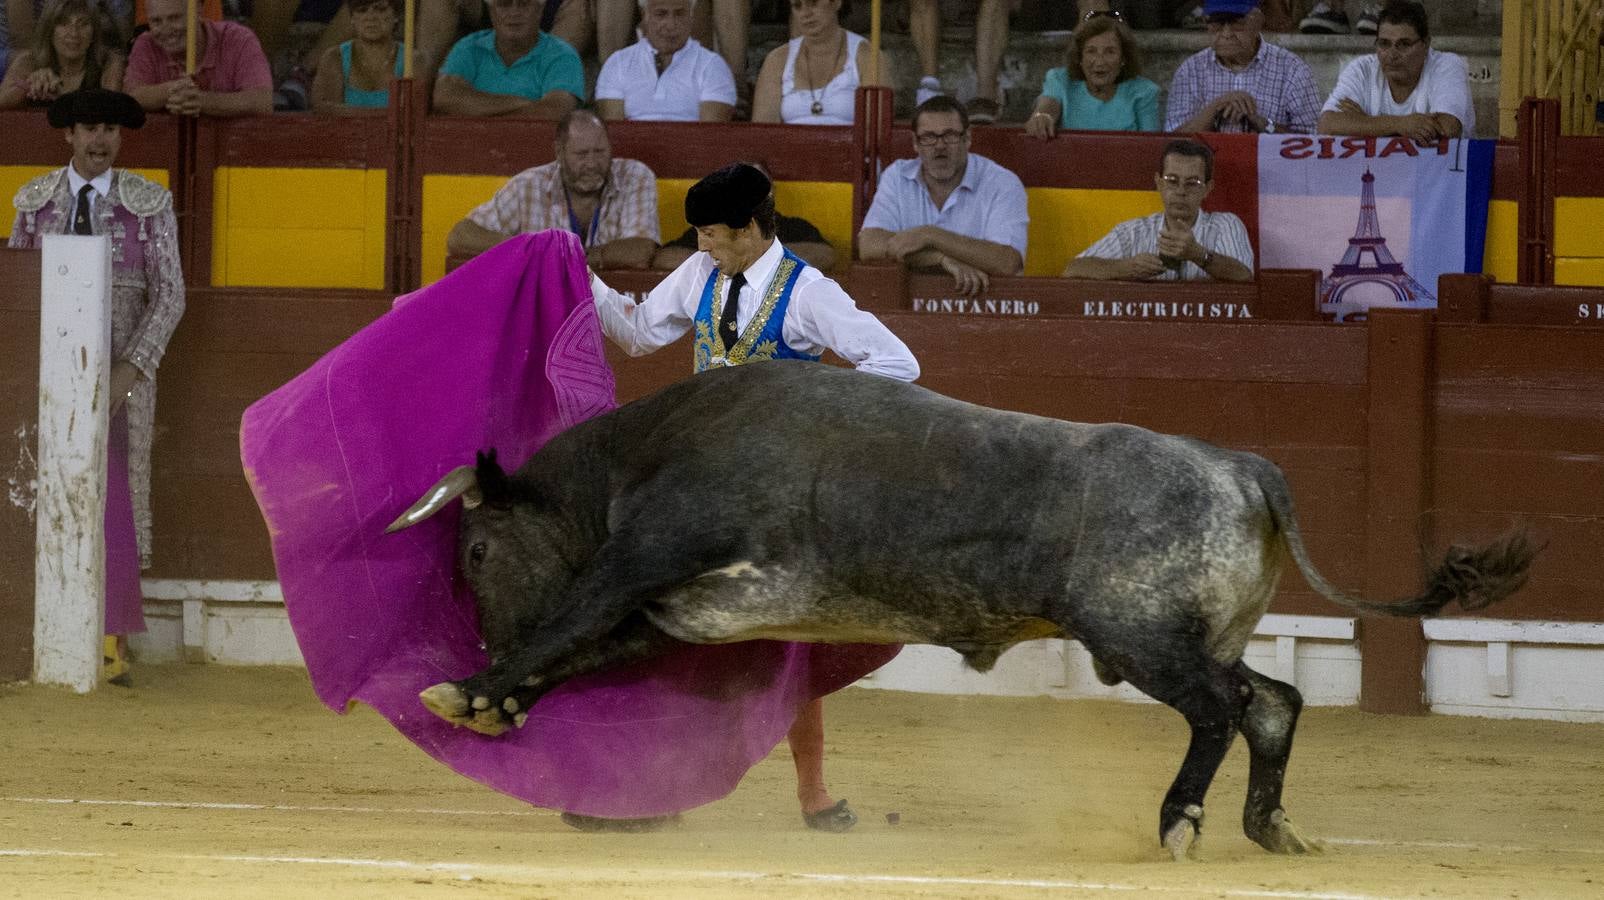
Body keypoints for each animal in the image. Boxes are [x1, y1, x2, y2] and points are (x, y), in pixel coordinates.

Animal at [384, 357, 1527, 853]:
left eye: (476, 549)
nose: (477, 636)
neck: (647, 452)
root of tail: (1245, 466)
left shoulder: (646, 557)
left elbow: (570, 618)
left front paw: (470, 689)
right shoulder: (682, 607)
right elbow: (586, 645)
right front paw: (495, 701)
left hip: (1139, 636)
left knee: (1222, 708)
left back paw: (1181, 823)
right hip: (1190, 633)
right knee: (1272, 700)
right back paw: (1269, 826)